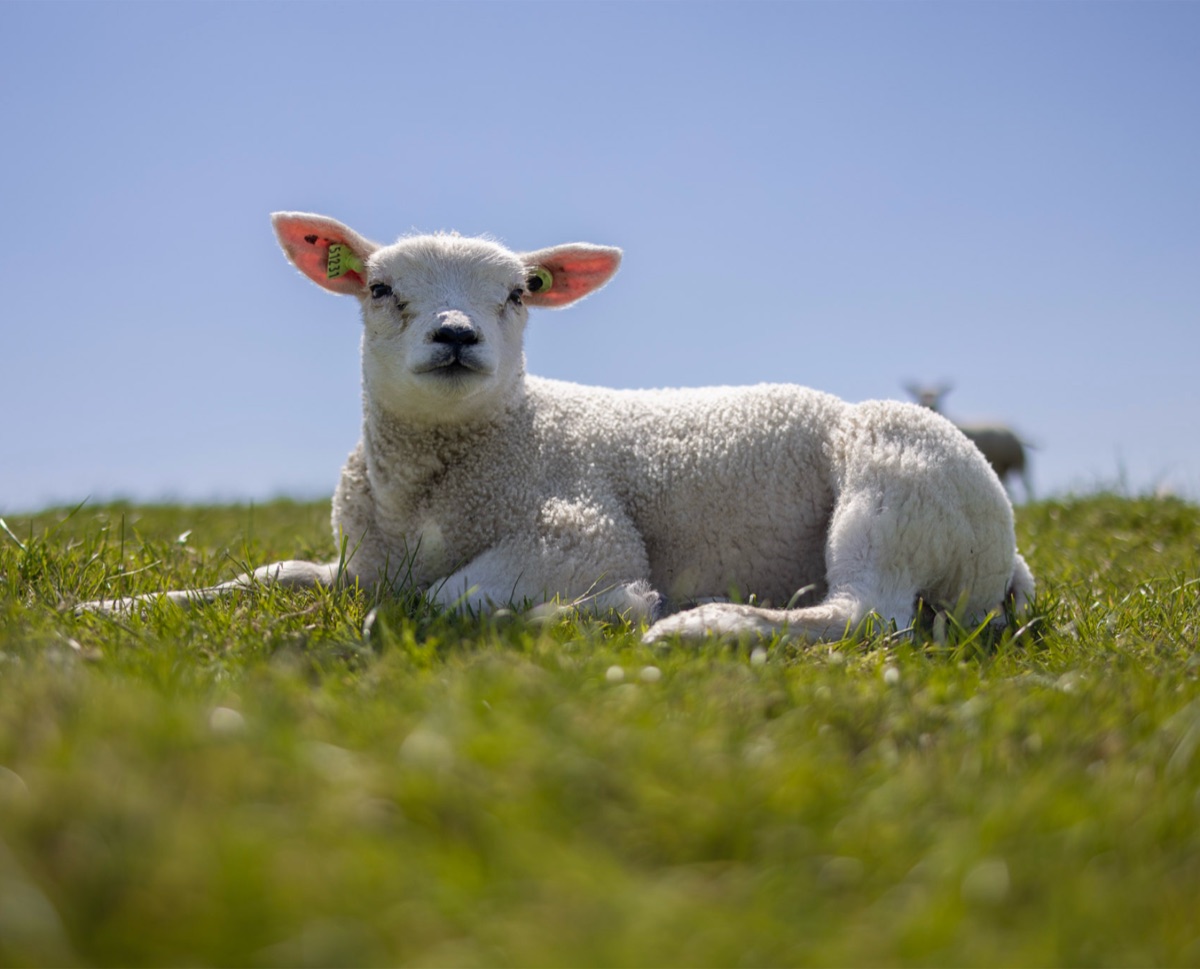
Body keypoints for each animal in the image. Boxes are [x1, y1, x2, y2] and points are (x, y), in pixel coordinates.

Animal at [904, 383, 1034, 500]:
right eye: (920, 395)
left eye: (939, 396)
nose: (930, 404)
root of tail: (1014, 434)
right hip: (1004, 466)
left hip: (1019, 462)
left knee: (1027, 485)